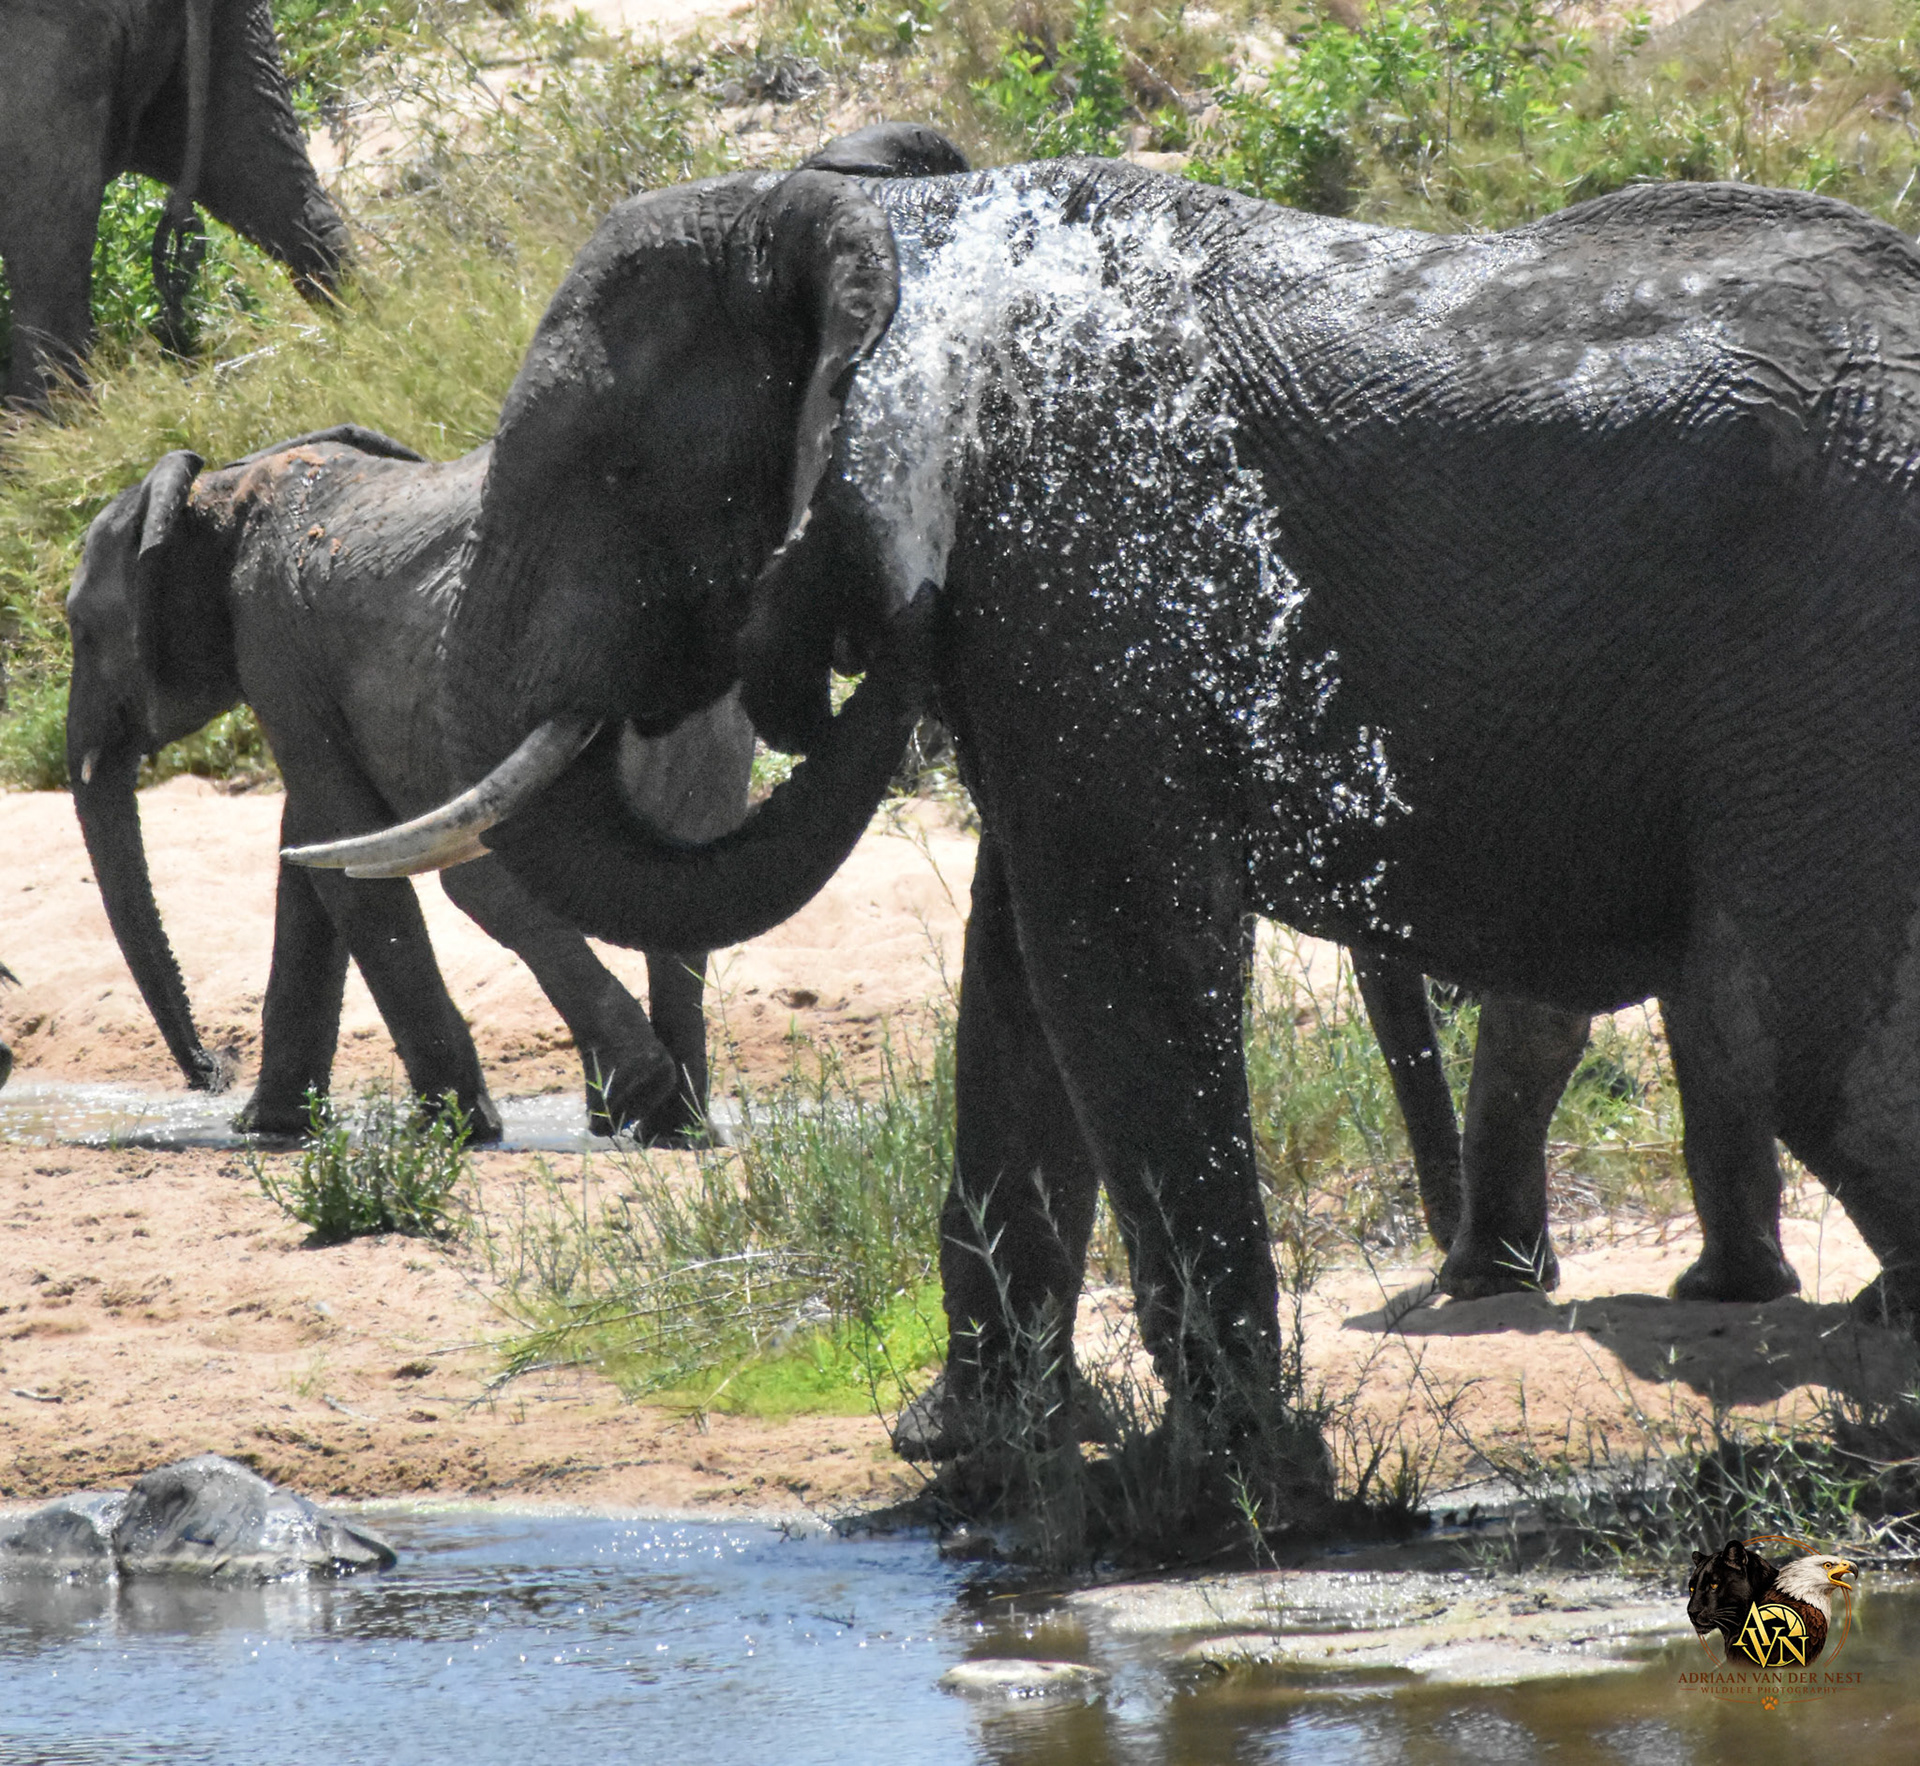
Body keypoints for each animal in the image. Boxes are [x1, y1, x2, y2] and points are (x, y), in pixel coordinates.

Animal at [66, 426, 753, 1142]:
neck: (224, 487)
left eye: (79, 629)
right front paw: (271, 1128)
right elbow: (316, 848)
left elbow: (340, 851)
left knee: (485, 883)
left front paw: (455, 1128)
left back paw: (632, 1098)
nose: (211, 1072)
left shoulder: (271, 637)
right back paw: (671, 1128)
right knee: (682, 884)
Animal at [295, 164, 1920, 1497]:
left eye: (620, 473)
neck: (882, 228)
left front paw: (1226, 1485)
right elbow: (1020, 975)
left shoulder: (1084, 552)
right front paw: (974, 1445)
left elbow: (1113, 953)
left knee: (1805, 1042)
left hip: (1827, 650)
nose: (848, 637)